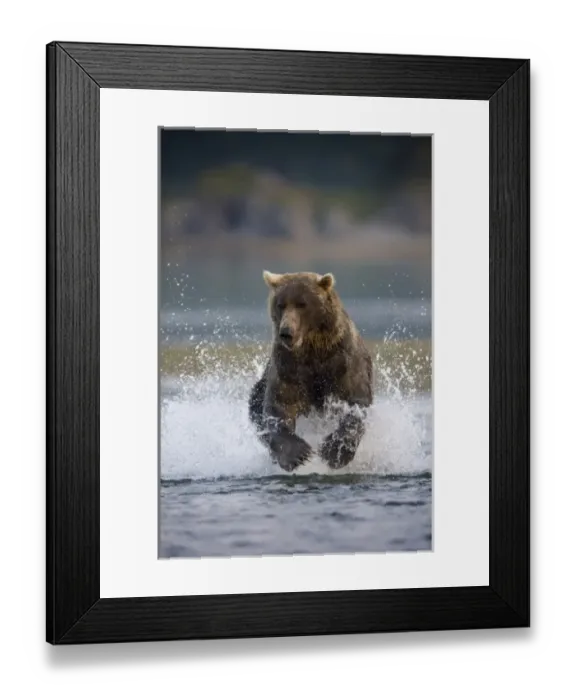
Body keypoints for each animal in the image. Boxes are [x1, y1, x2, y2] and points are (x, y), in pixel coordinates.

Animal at [248, 270, 373, 472]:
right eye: (280, 305)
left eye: (302, 304)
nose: (286, 332)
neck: (313, 350)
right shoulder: (289, 367)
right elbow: (279, 405)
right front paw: (298, 454)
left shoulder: (343, 363)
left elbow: (355, 403)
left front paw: (333, 451)